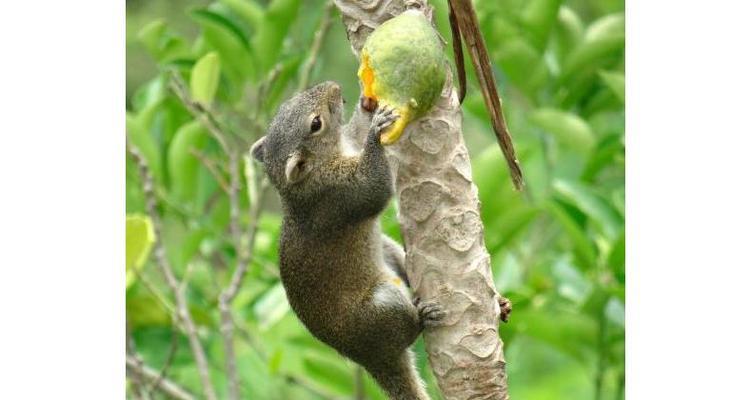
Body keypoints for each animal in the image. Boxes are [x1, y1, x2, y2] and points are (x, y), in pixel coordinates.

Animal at [251, 82, 446, 400]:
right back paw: (423, 318)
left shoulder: (349, 149)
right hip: (381, 308)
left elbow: (354, 132)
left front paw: (367, 106)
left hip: (389, 252)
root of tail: (370, 358)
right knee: (405, 332)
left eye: (285, 105)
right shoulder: (340, 194)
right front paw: (376, 131)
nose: (333, 86)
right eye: (315, 124)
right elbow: (375, 187)